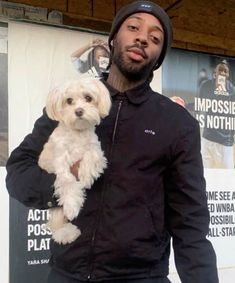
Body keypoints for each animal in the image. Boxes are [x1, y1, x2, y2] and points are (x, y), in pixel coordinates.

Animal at [38, 76, 111, 245]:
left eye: (88, 98)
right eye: (69, 100)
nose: (79, 111)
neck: (77, 133)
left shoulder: (96, 149)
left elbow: (91, 155)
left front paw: (86, 176)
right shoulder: (61, 160)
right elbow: (68, 181)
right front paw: (72, 206)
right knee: (57, 221)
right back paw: (66, 232)